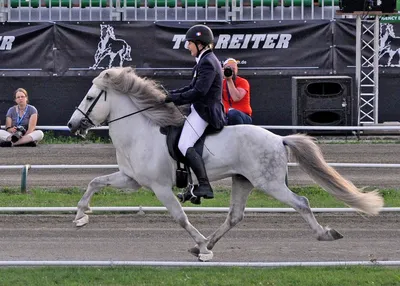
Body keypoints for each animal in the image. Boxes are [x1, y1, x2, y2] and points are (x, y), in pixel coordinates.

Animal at [68, 66, 384, 262]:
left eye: (89, 96)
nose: (72, 125)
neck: (140, 131)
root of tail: (279, 139)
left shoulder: (160, 187)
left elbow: (180, 218)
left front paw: (202, 247)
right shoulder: (130, 179)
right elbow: (94, 182)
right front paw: (81, 216)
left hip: (269, 184)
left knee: (301, 202)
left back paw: (324, 234)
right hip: (242, 181)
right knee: (235, 216)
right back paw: (206, 244)